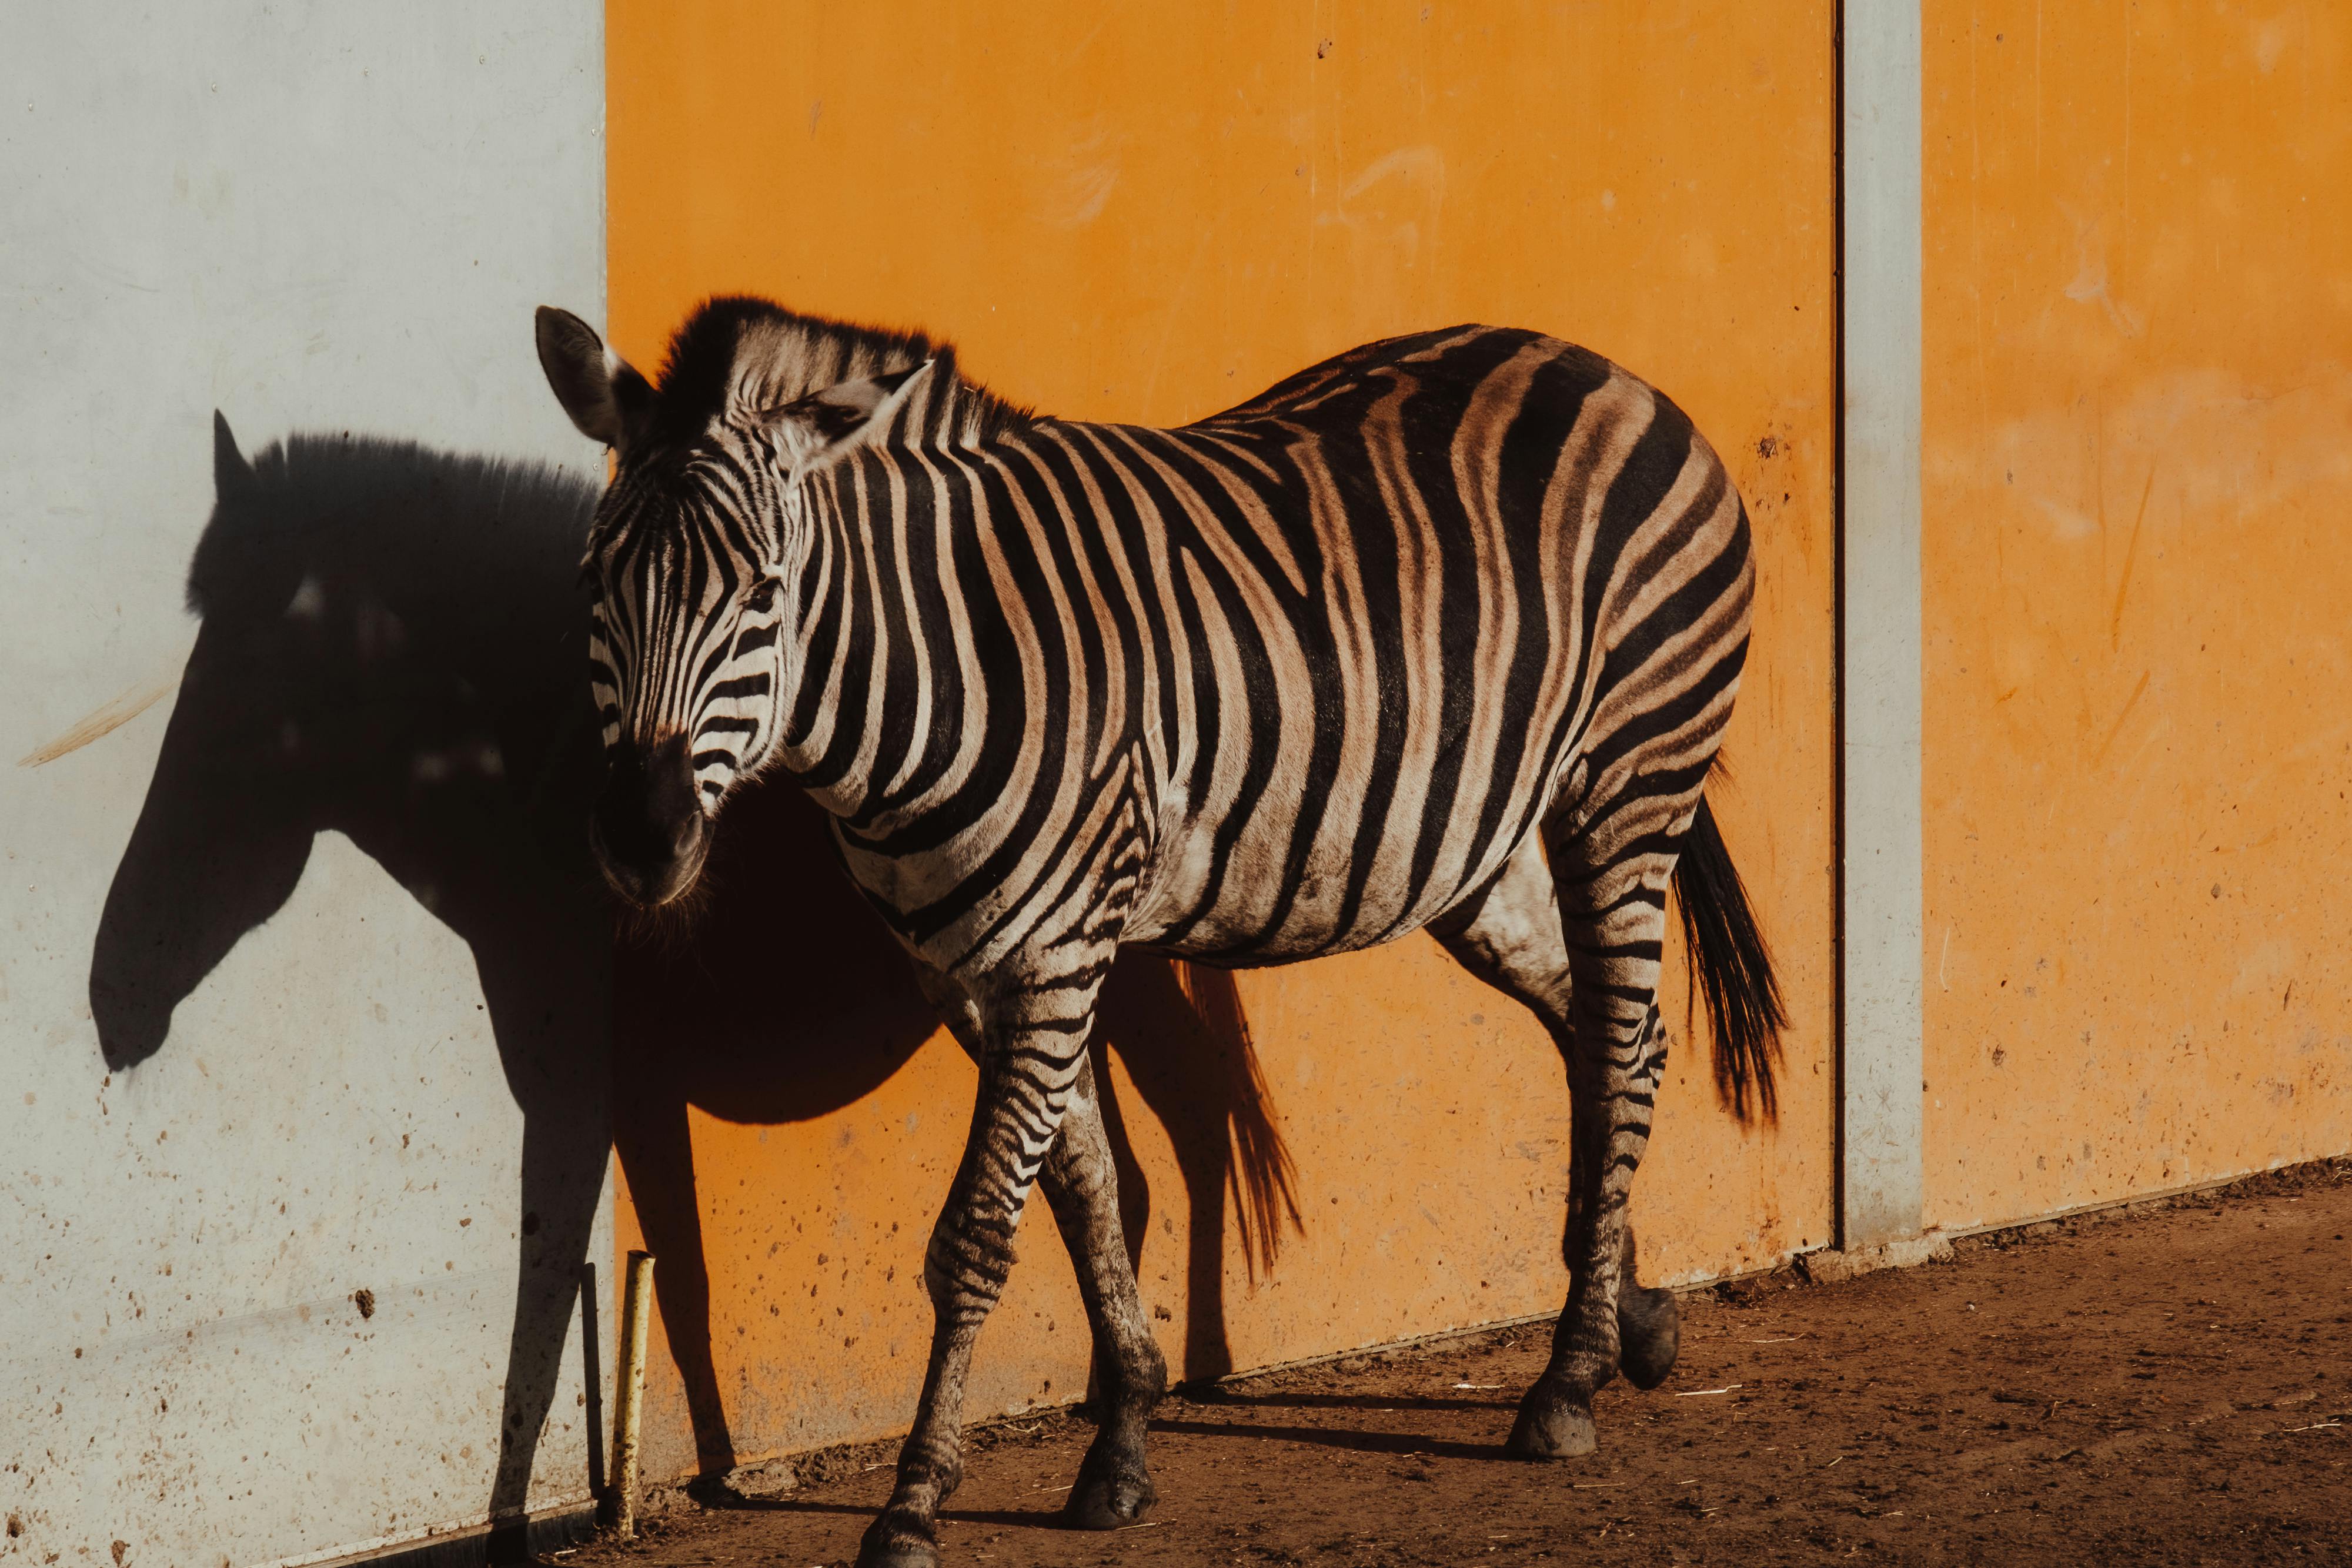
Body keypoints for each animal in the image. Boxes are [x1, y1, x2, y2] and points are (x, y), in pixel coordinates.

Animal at [535, 296, 1784, 1568]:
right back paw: (1630, 1319)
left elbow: (977, 1233)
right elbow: (1087, 1190)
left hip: (1629, 784)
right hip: (1468, 849)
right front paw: (1122, 1441)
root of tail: (1598, 365)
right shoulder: (975, 967)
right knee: (1612, 1038)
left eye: (764, 591)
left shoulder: (1053, 953)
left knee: (1618, 1044)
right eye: (594, 582)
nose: (643, 839)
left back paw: (1567, 1382)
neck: (938, 659)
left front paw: (914, 1500)